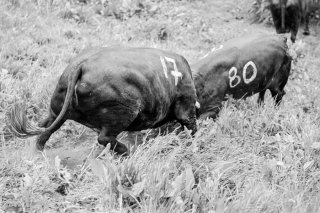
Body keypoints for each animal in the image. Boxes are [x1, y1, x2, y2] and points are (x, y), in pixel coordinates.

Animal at [6, 47, 198, 156]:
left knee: (44, 132)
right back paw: (127, 152)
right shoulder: (186, 108)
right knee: (104, 138)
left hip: (57, 112)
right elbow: (191, 127)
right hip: (123, 114)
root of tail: (82, 66)